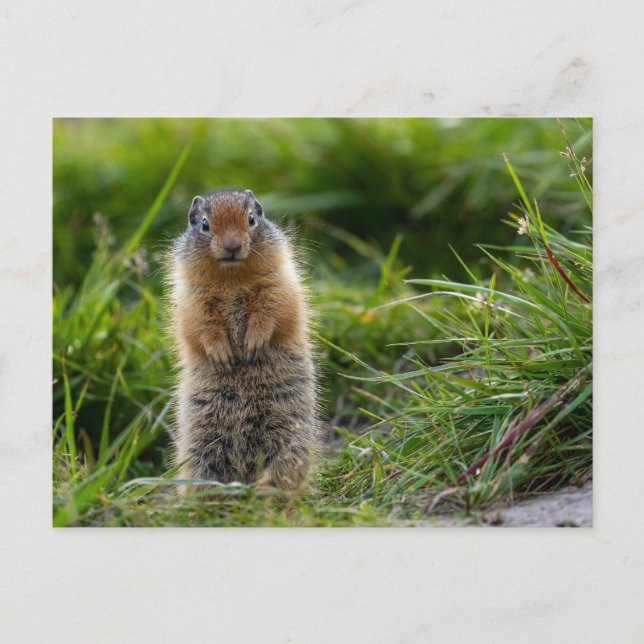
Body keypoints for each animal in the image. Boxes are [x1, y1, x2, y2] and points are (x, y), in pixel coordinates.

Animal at [168, 188, 319, 493]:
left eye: (251, 218)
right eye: (204, 224)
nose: (232, 246)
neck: (231, 278)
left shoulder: (280, 281)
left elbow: (273, 310)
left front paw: (253, 344)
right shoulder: (190, 296)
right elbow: (200, 324)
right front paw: (223, 355)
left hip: (289, 439)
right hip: (202, 451)